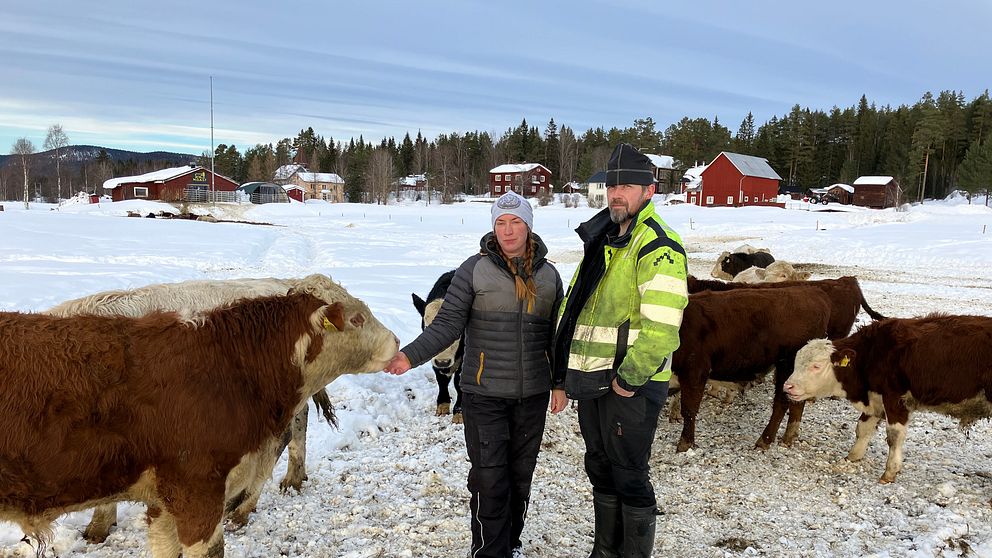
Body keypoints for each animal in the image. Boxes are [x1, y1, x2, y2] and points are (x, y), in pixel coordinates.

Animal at [414, 272, 468, 424]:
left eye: (458, 332)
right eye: (427, 328)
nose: (442, 362)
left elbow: (458, 381)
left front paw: (459, 413)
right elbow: (441, 379)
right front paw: (442, 405)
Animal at [672, 286, 832, 452]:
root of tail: (812, 292)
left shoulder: (694, 371)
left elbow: (689, 409)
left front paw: (685, 443)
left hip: (787, 366)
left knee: (781, 402)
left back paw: (765, 440)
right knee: (797, 403)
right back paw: (788, 438)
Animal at [784, 316, 992, 486]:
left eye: (816, 366)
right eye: (796, 362)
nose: (788, 386)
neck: (874, 353)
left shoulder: (895, 398)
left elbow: (894, 436)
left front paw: (890, 472)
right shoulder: (874, 399)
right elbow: (862, 428)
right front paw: (853, 456)